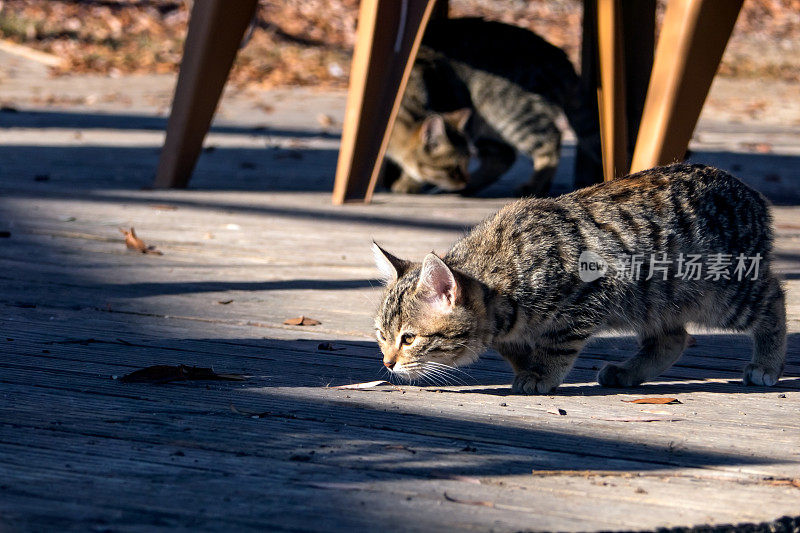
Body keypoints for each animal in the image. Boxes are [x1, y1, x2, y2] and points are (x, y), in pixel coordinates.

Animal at [372, 164, 784, 392]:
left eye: (409, 339)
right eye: (381, 336)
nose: (388, 363)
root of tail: (751, 194)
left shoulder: (591, 297)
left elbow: (557, 343)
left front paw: (541, 373)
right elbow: (513, 347)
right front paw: (526, 364)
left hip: (722, 292)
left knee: (773, 299)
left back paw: (767, 363)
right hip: (656, 301)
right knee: (672, 338)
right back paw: (628, 371)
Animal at [386, 18, 600, 198]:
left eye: (458, 166)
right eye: (453, 168)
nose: (463, 179)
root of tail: (557, 53)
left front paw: (409, 181)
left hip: (510, 113)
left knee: (550, 141)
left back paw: (532, 185)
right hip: (484, 123)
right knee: (504, 156)